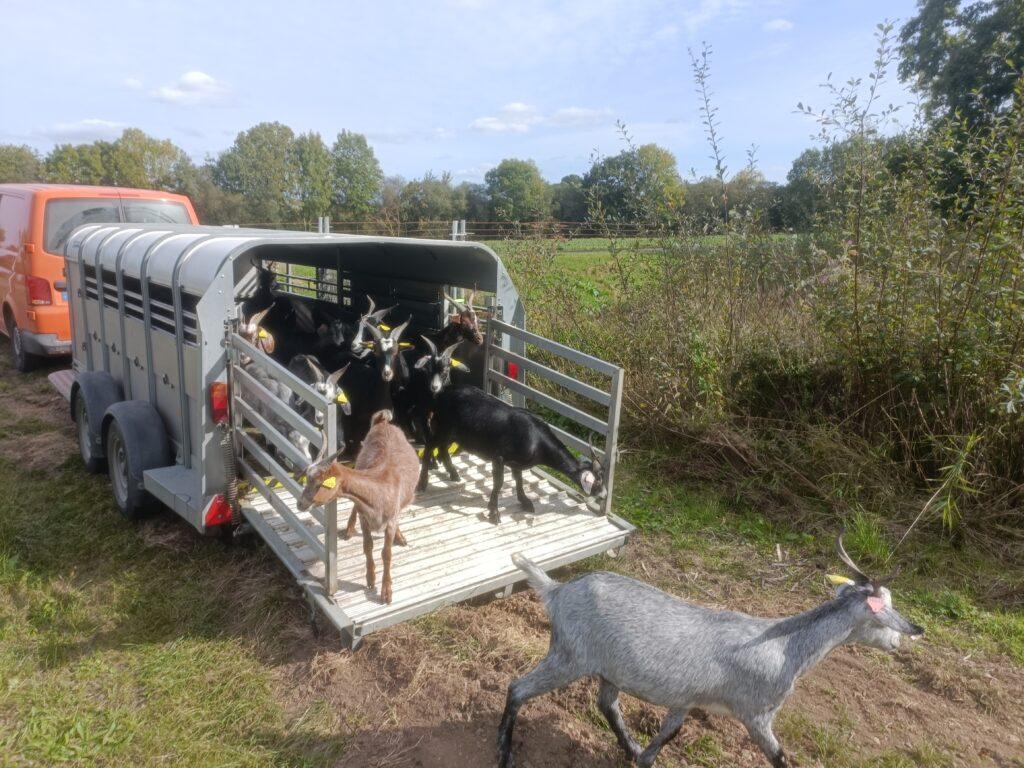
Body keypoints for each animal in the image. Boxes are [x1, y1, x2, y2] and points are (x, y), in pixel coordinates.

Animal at [296, 411, 419, 606]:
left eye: (319, 484)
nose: (300, 504)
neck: (379, 489)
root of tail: (383, 421)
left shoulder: (391, 520)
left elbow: (386, 553)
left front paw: (386, 592)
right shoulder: (364, 517)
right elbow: (367, 546)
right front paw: (370, 579)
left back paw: (400, 537)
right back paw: (349, 529)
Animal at [413, 387, 602, 528]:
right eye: (597, 485)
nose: (603, 497)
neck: (537, 441)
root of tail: (442, 395)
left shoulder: (517, 463)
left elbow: (519, 480)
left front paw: (525, 502)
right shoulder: (499, 456)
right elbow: (499, 483)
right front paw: (494, 512)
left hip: (453, 434)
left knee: (442, 448)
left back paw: (453, 473)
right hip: (442, 428)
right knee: (429, 447)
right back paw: (422, 483)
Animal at [499, 536, 925, 768]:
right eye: (885, 610)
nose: (910, 634)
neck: (787, 646)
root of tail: (556, 590)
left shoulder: (685, 700)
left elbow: (667, 737)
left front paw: (643, 756)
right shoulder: (756, 714)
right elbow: (780, 758)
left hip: (608, 668)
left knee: (607, 704)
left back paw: (629, 745)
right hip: (569, 655)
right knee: (517, 688)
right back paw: (505, 754)